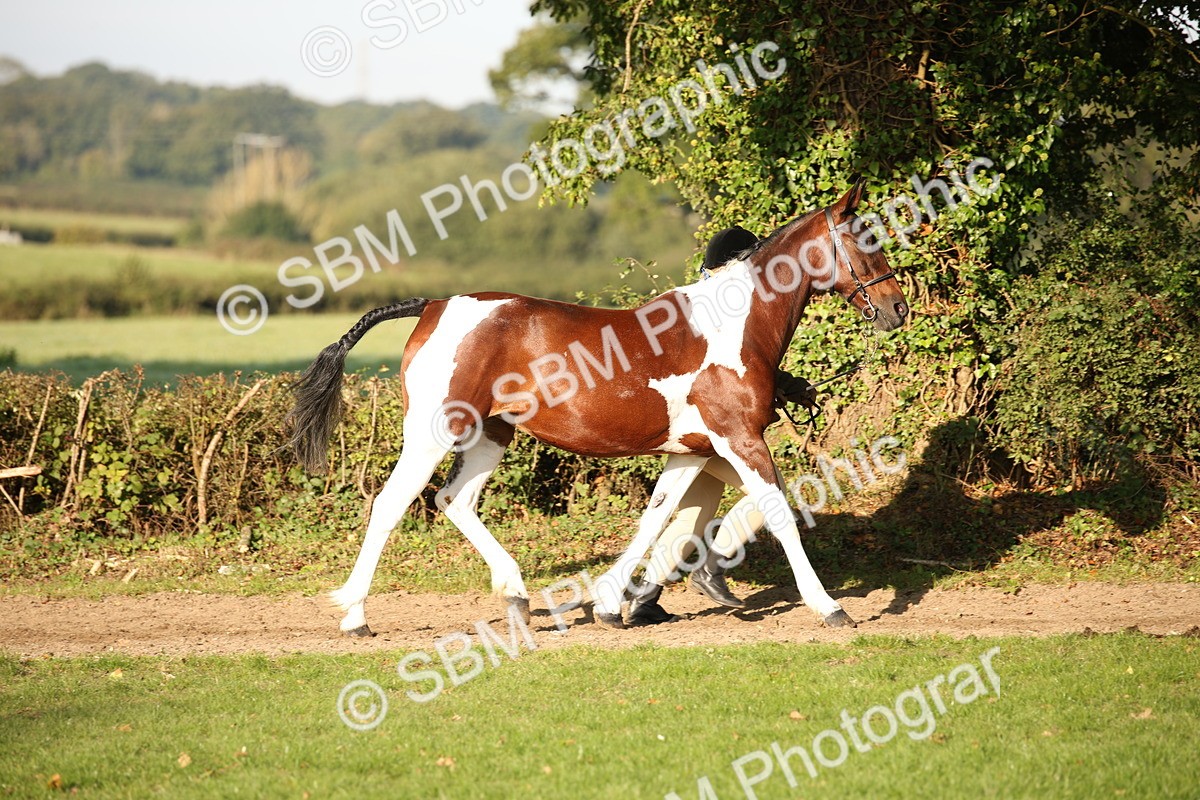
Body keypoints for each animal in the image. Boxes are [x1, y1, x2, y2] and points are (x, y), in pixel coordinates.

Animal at [287, 179, 907, 636]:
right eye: (865, 239)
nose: (897, 308)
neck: (735, 325)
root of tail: (433, 305)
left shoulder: (691, 450)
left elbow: (657, 516)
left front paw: (611, 605)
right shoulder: (740, 439)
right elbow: (777, 514)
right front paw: (831, 608)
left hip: (490, 436)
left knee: (453, 500)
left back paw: (516, 596)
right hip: (433, 433)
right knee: (390, 505)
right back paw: (355, 616)